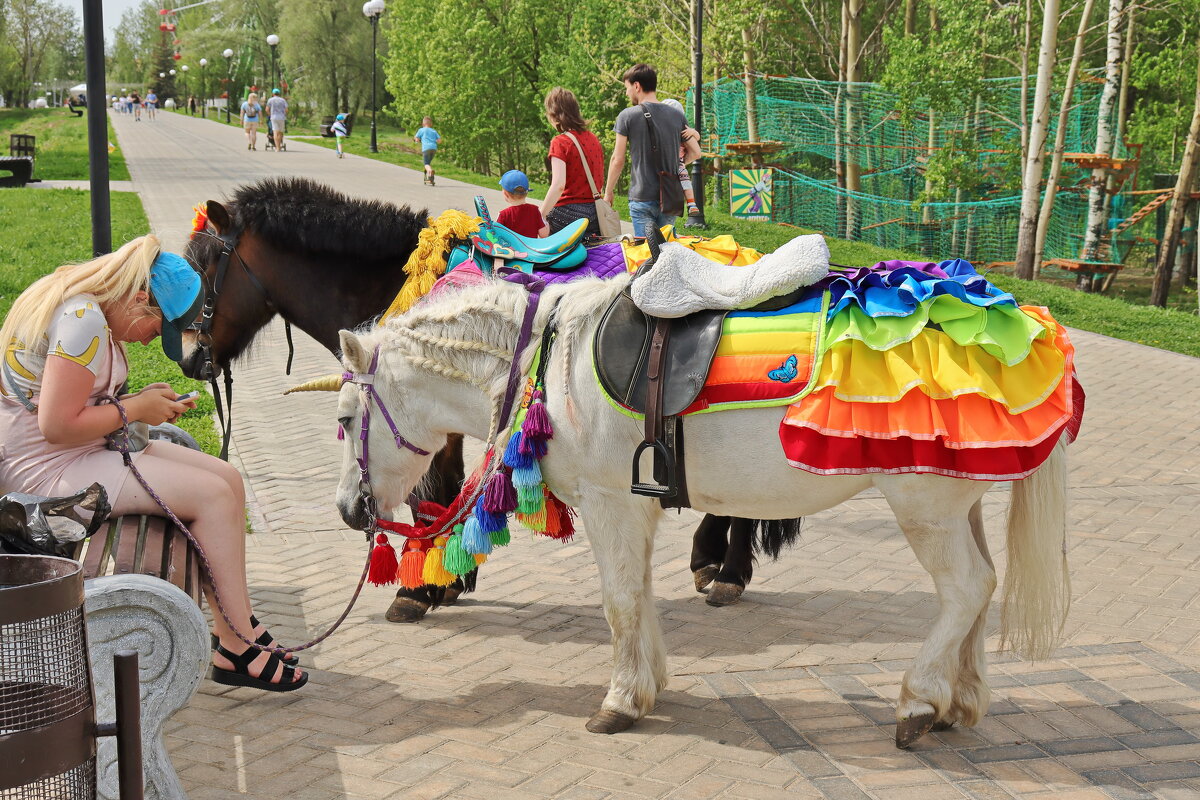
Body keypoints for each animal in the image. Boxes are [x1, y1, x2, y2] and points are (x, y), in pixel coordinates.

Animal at [180, 178, 796, 618]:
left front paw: (422, 589)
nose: (188, 358)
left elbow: (430, 492)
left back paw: (729, 573)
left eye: (201, 268)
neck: (398, 282)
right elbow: (439, 492)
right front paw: (447, 580)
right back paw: (708, 559)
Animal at [328, 272, 1070, 748]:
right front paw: (649, 683)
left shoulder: (610, 505)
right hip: (959, 505)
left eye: (344, 418)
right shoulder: (636, 508)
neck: (551, 356)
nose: (348, 510)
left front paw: (620, 701)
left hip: (925, 510)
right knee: (981, 592)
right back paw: (957, 701)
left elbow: (619, 600)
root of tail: (1022, 330)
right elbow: (640, 594)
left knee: (967, 588)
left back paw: (918, 700)